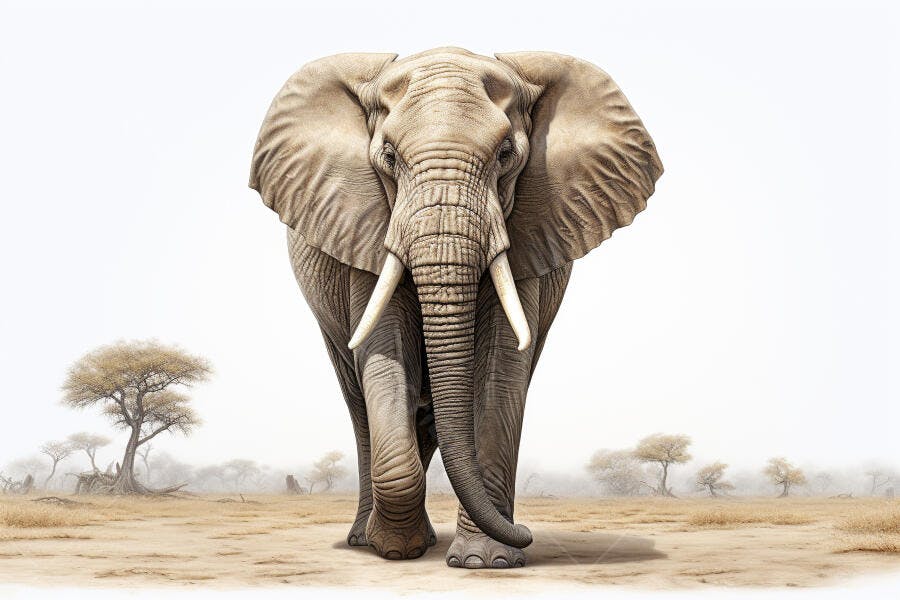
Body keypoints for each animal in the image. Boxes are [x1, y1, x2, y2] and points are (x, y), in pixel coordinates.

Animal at [249, 47, 662, 568]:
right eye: (388, 157)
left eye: (506, 155)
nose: (526, 532)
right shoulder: (365, 226)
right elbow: (387, 355)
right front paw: (396, 550)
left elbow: (502, 366)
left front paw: (487, 562)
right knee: (360, 405)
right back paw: (367, 539)